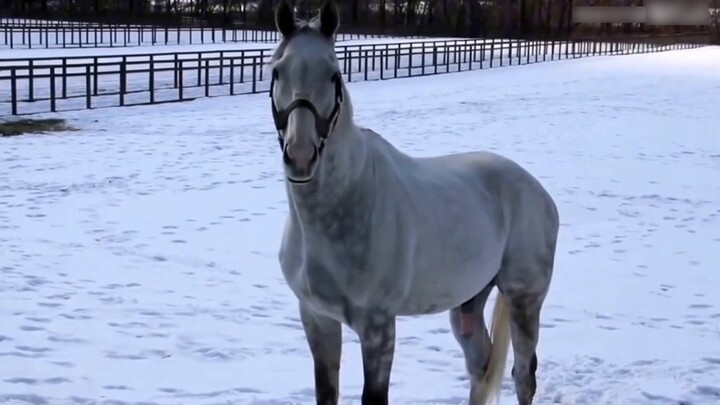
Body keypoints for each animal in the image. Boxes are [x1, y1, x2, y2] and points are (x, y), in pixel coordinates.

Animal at [270, 1, 564, 402]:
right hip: (468, 302)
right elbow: (326, 391)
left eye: (334, 75)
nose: (300, 156)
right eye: (277, 72)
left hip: (525, 298)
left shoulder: (378, 326)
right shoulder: (317, 318)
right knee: (481, 367)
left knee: (522, 375)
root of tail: (538, 192)